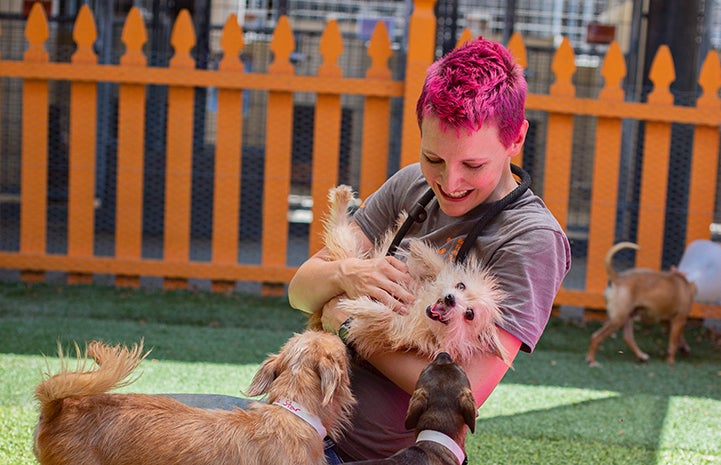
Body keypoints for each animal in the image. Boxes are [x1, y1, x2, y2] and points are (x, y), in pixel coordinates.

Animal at [312, 185, 510, 366]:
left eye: (469, 314)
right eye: (460, 285)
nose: (450, 298)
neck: (420, 309)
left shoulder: (396, 329)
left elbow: (384, 315)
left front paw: (357, 306)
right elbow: (438, 266)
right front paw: (420, 249)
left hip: (346, 251)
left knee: (338, 233)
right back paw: (346, 197)